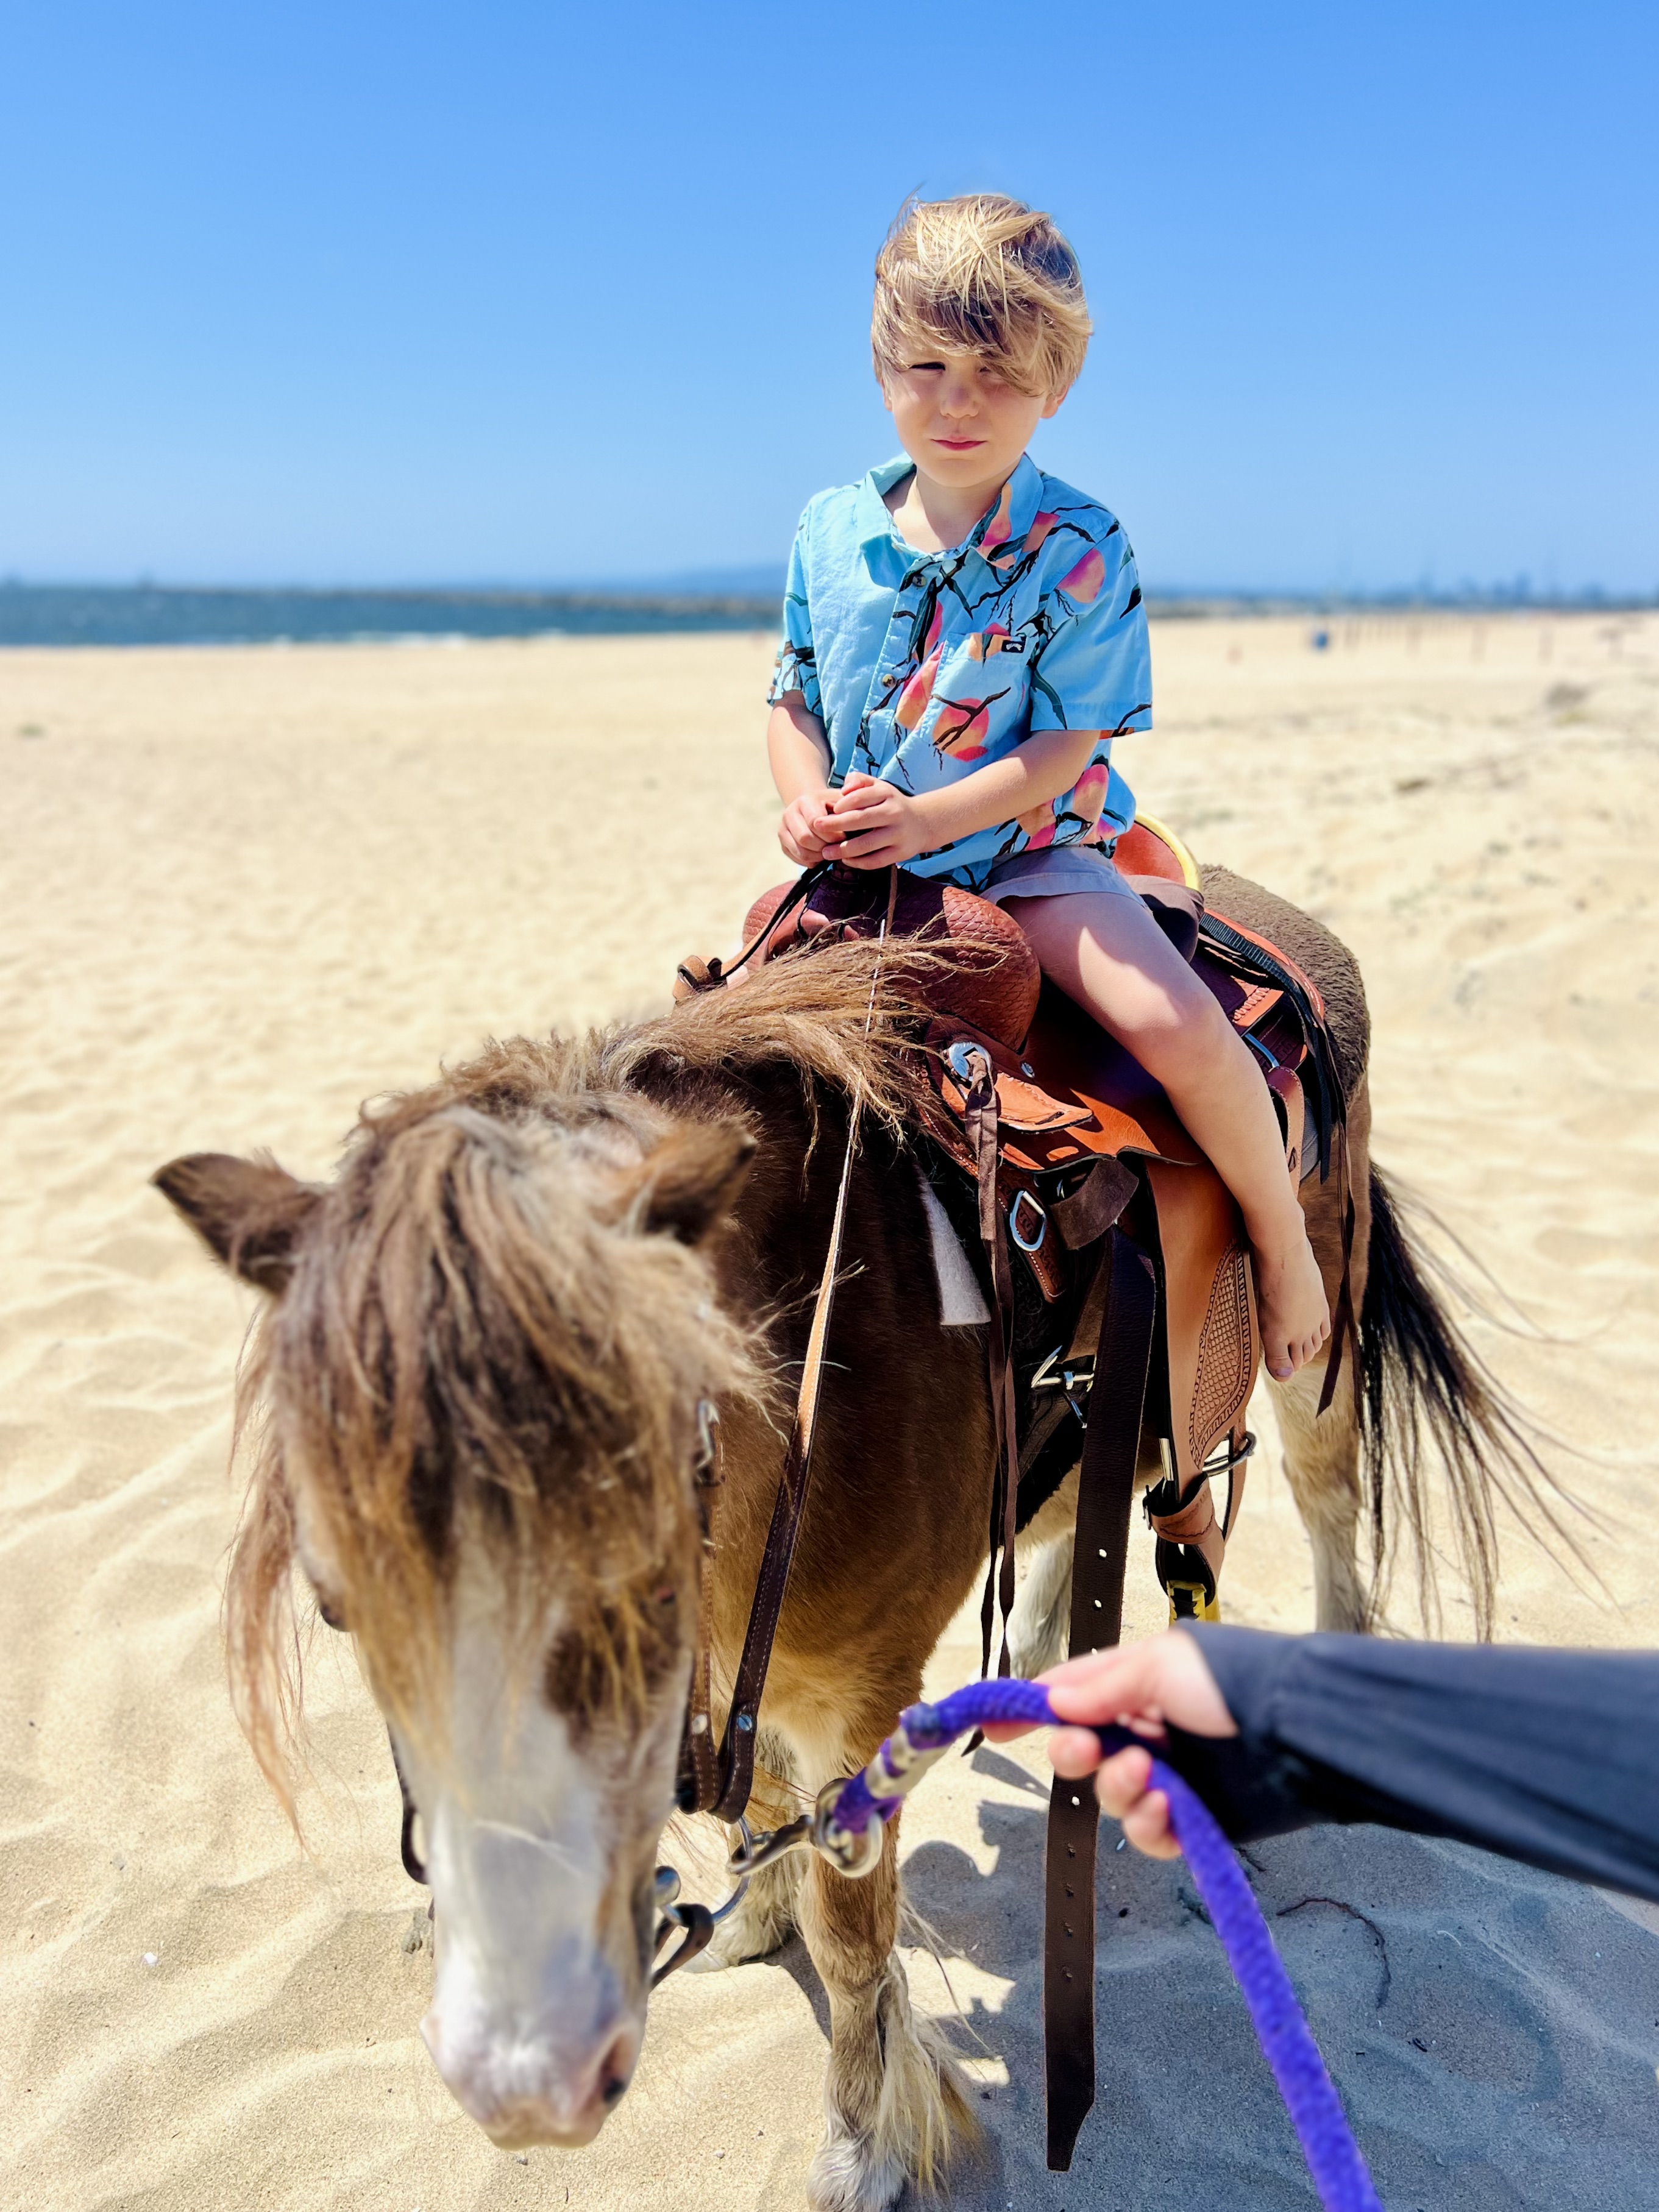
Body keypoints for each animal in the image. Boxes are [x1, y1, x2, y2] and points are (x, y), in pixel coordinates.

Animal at [153, 866, 1549, 2212]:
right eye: (336, 1605)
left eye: (642, 1573)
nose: (525, 2079)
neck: (812, 1359)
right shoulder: (755, 1667)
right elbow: (764, 1809)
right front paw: (751, 1918)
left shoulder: (852, 1696)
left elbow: (851, 1931)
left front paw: (863, 2139)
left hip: (1310, 1350)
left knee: (1327, 1510)